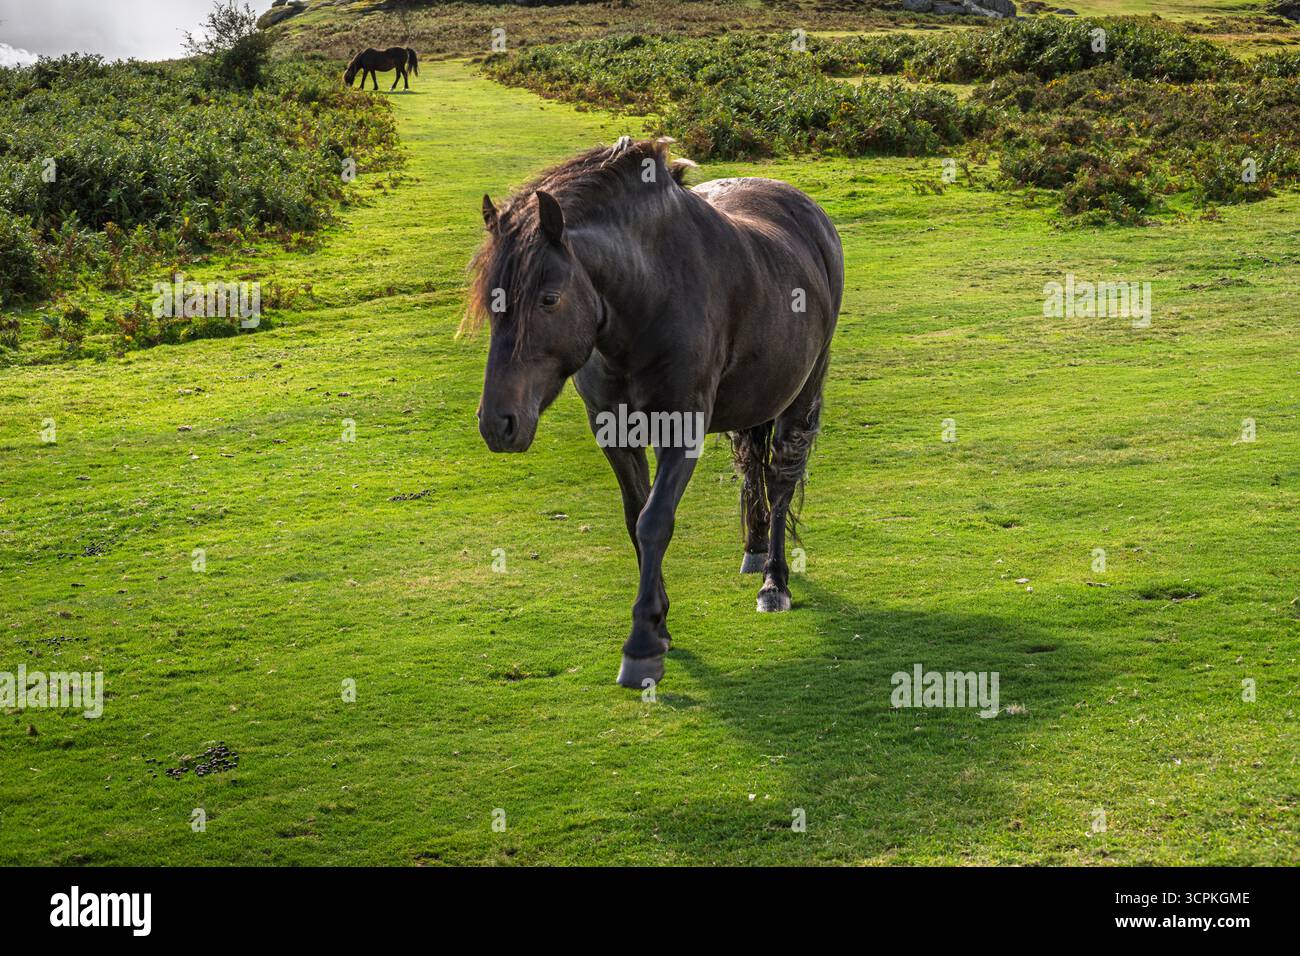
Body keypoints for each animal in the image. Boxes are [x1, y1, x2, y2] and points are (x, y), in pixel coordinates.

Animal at [466, 137, 843, 689]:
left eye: (549, 298)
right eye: (490, 302)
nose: (498, 423)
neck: (647, 301)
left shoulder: (682, 430)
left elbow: (655, 522)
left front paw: (643, 643)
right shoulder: (613, 431)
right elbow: (634, 519)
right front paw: (661, 624)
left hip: (801, 392)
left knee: (779, 480)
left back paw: (774, 581)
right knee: (753, 466)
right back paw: (753, 552)